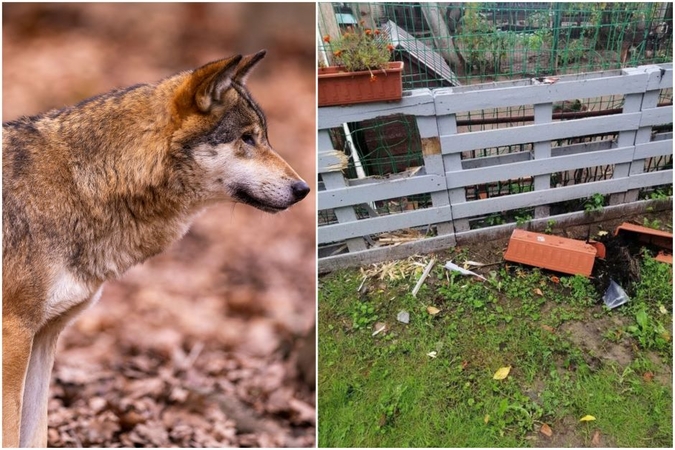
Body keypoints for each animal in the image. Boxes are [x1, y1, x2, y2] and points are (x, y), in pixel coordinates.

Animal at [2, 50, 312, 446]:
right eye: (247, 138)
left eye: (263, 137)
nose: (303, 189)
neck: (78, 184)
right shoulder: (15, 335)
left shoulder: (44, 337)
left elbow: (35, 433)